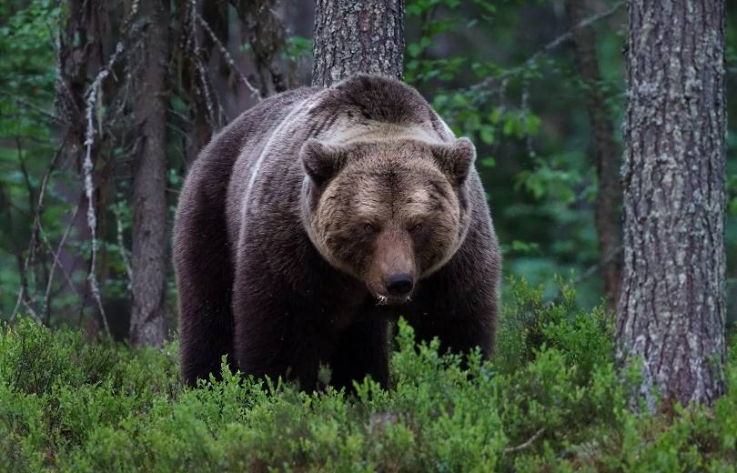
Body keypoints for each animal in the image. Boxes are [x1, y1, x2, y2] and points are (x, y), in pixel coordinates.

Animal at [174, 74, 500, 390]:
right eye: (368, 225)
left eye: (418, 224)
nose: (398, 281)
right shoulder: (294, 245)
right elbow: (282, 327)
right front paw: (278, 388)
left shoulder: (455, 259)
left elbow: (454, 326)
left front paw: (458, 377)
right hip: (212, 210)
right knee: (208, 311)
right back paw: (206, 384)